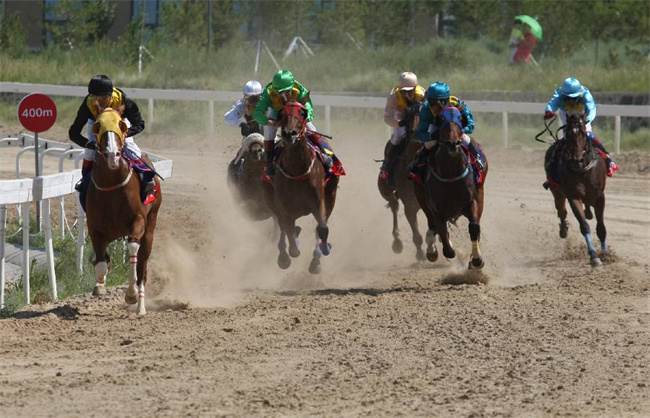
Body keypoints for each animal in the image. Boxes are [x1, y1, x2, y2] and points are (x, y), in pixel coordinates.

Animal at [86, 109, 161, 316]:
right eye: (98, 126)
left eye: (122, 125)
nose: (113, 155)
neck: (112, 186)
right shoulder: (95, 228)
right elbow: (101, 264)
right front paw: (100, 285)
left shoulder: (138, 221)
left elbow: (133, 248)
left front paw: (131, 295)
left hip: (150, 228)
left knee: (143, 270)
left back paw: (141, 307)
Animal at [264, 101, 340, 274]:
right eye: (281, 114)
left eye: (302, 113)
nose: (289, 134)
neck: (297, 170)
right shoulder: (283, 207)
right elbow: (290, 235)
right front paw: (287, 254)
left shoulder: (319, 202)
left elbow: (322, 228)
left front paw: (323, 250)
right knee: (284, 229)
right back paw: (283, 255)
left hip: (331, 195)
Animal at [374, 104, 426, 260]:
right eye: (409, 116)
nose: (416, 134)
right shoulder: (409, 205)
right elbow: (417, 234)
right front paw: (421, 253)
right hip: (385, 188)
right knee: (394, 205)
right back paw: (397, 242)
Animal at [412, 106, 488, 270]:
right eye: (441, 119)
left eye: (460, 118)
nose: (453, 143)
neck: (451, 174)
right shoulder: (436, 210)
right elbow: (444, 238)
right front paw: (441, 250)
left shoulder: (472, 202)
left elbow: (474, 227)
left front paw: (476, 259)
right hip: (421, 196)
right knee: (432, 227)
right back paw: (432, 250)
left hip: (481, 192)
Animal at [548, 112, 608, 266]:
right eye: (568, 133)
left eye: (583, 133)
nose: (577, 159)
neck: (583, 171)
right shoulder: (573, 196)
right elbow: (584, 225)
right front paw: (594, 256)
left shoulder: (600, 196)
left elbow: (601, 227)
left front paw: (606, 254)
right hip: (557, 193)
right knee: (561, 211)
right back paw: (563, 230)